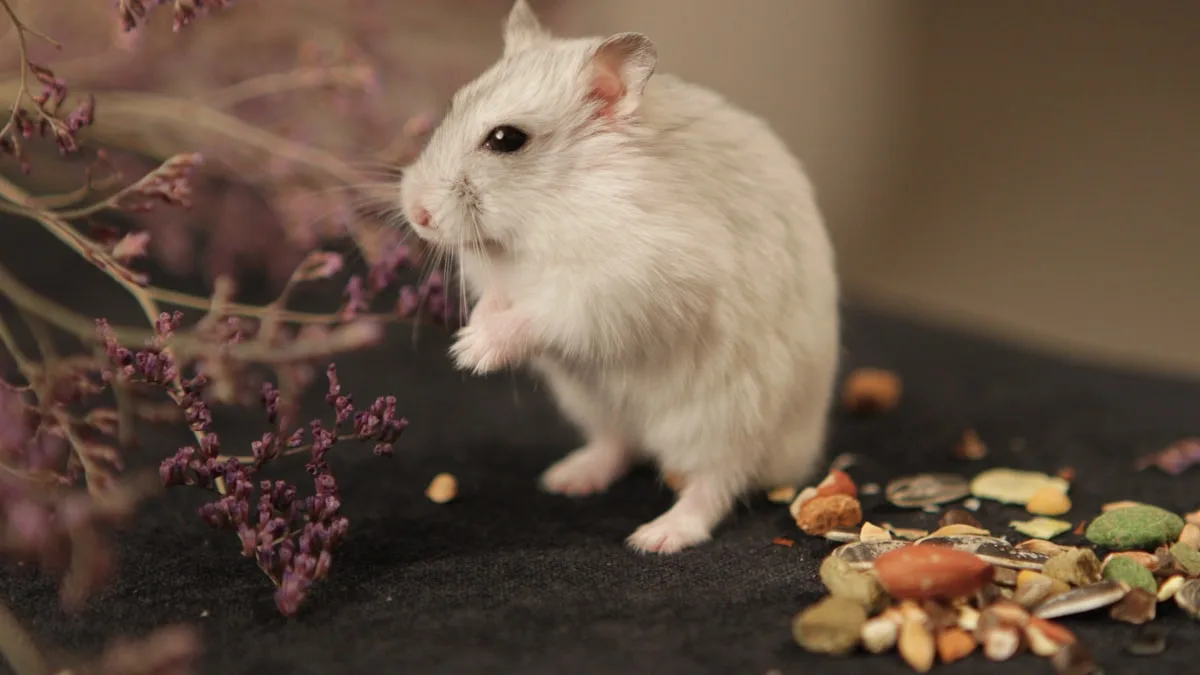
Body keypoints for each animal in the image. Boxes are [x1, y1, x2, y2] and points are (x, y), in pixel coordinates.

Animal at [398, 0, 840, 554]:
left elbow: (540, 315)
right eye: (453, 104)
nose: (416, 213)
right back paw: (565, 479)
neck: (541, 211)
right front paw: (468, 338)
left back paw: (656, 537)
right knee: (619, 445)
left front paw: (470, 353)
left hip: (725, 422)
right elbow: (497, 303)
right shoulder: (502, 282)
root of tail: (797, 455)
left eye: (506, 139)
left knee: (715, 485)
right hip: (596, 405)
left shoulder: (619, 286)